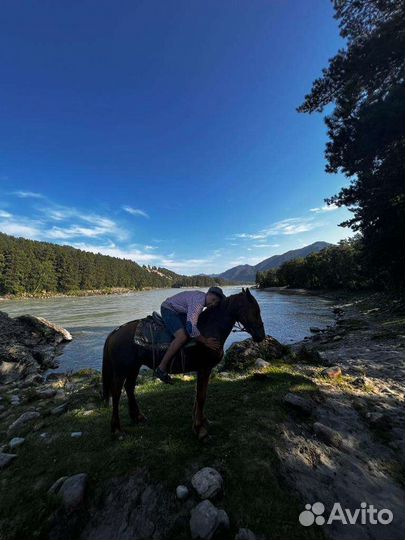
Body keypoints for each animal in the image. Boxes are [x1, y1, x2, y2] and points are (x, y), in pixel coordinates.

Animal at [102, 286, 264, 438]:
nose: (261, 336)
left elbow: (200, 395)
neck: (210, 328)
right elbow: (201, 397)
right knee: (116, 394)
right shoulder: (204, 368)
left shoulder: (204, 369)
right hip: (121, 370)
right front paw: (200, 429)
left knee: (129, 388)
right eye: (255, 311)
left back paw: (137, 417)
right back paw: (117, 429)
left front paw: (202, 421)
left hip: (134, 367)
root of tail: (115, 332)